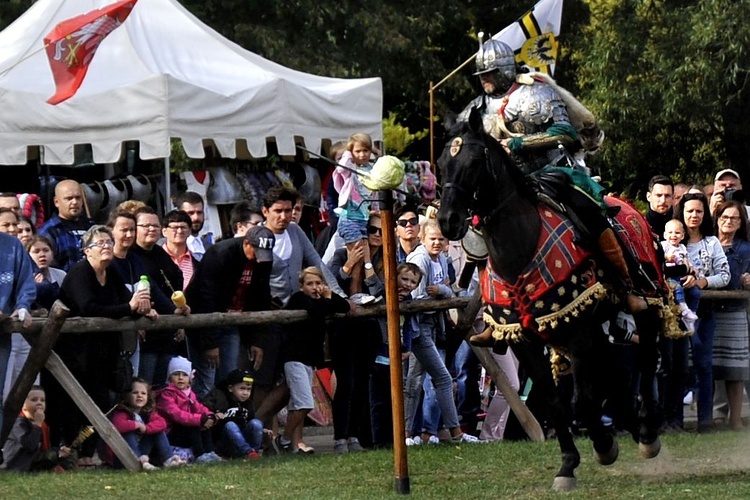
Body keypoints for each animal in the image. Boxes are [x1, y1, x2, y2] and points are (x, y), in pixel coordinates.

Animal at [438, 108, 668, 492]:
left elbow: (583, 398)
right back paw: (634, 428)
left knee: (647, 359)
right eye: (441, 163)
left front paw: (602, 445)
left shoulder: (577, 330)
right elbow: (554, 400)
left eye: (472, 163)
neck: (520, 246)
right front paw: (568, 464)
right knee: (615, 372)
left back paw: (648, 433)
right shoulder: (527, 340)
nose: (447, 221)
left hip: (645, 302)